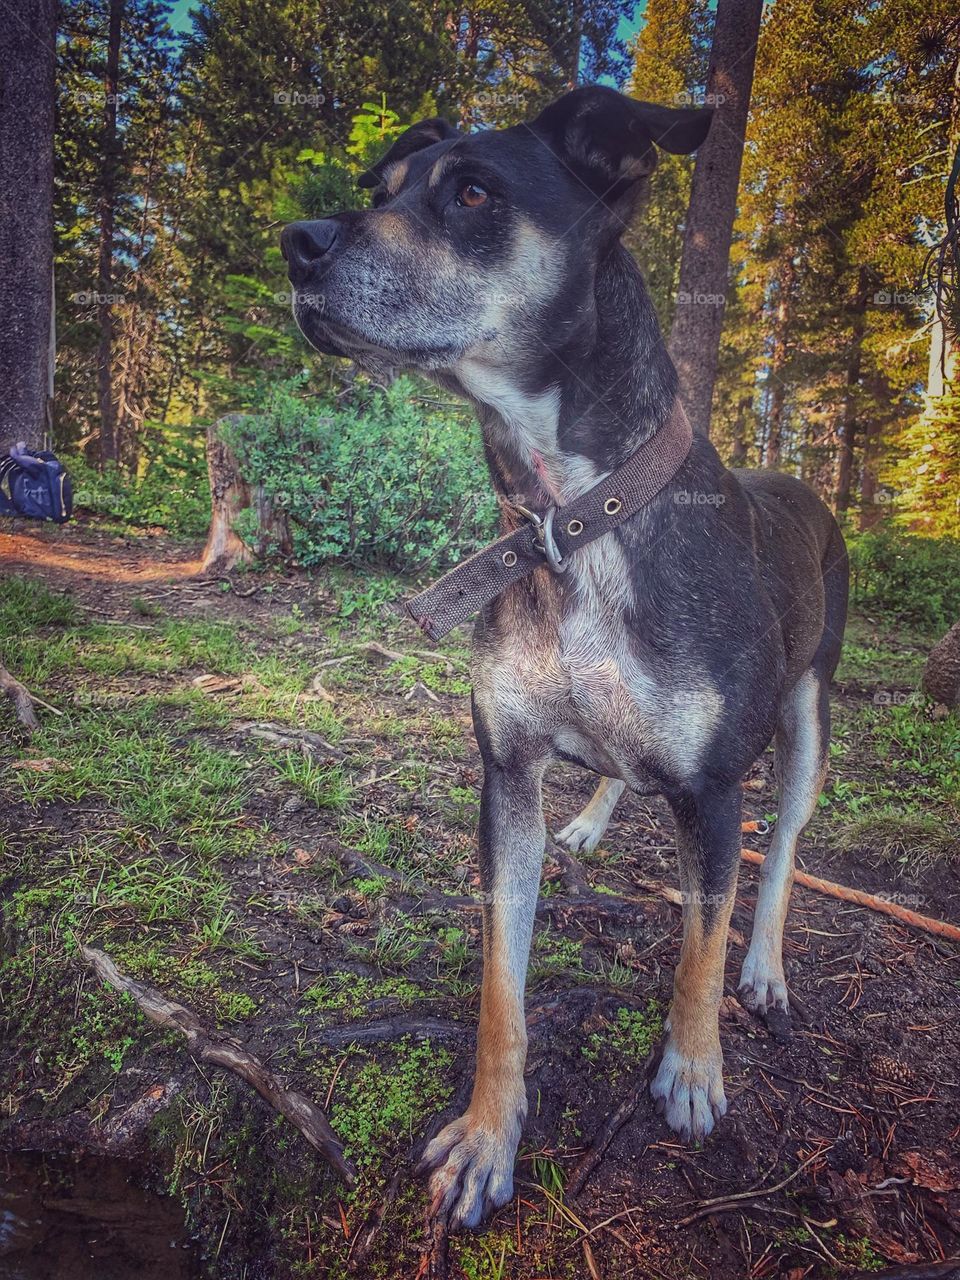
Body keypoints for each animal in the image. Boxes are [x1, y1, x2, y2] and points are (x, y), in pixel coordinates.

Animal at [280, 87, 849, 1228]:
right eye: (382, 189)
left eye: (472, 194)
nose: (298, 244)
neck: (571, 515)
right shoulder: (506, 770)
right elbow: (502, 986)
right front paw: (488, 1136)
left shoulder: (715, 789)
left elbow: (699, 945)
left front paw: (692, 1068)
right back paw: (593, 818)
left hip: (811, 710)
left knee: (783, 848)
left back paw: (765, 967)